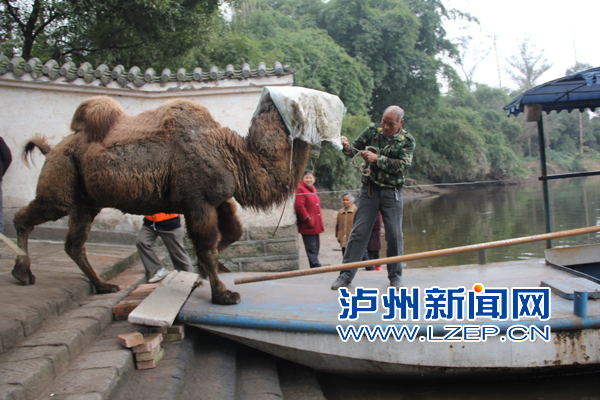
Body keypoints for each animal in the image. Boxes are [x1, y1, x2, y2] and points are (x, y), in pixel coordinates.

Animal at [12, 90, 338, 304]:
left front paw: (208, 271)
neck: (234, 154)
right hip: (62, 182)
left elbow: (232, 232)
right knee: (31, 215)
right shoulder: (198, 200)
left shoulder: (218, 198)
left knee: (74, 243)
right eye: (303, 106)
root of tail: (53, 148)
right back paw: (22, 273)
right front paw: (223, 293)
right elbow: (207, 244)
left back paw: (102, 285)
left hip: (86, 199)